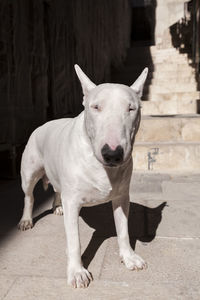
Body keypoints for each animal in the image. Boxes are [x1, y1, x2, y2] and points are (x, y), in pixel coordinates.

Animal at [18, 64, 148, 288]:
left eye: (131, 109)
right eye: (96, 107)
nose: (112, 154)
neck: (101, 166)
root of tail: (42, 125)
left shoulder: (122, 197)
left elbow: (123, 230)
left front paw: (129, 257)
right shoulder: (73, 201)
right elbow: (74, 241)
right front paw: (77, 272)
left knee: (56, 188)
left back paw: (57, 206)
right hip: (29, 172)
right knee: (29, 196)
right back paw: (26, 219)